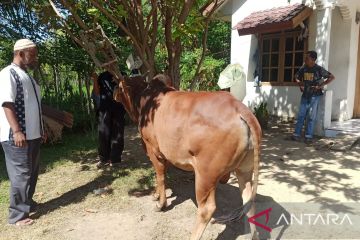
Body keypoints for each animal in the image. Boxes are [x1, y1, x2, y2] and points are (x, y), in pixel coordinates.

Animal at [115, 75, 262, 240]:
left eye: (118, 86)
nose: (114, 94)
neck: (145, 100)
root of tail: (239, 108)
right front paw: (156, 195)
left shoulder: (152, 149)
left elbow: (160, 176)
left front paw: (161, 203)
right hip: (244, 170)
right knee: (249, 201)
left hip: (206, 175)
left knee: (206, 209)